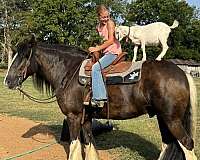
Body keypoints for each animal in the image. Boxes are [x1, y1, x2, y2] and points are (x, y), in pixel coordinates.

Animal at [3, 34, 197, 160]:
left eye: (24, 56)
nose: (7, 81)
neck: (69, 72)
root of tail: (181, 72)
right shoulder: (86, 118)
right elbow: (89, 144)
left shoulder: (73, 117)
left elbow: (74, 146)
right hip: (162, 118)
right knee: (168, 144)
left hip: (172, 120)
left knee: (187, 144)